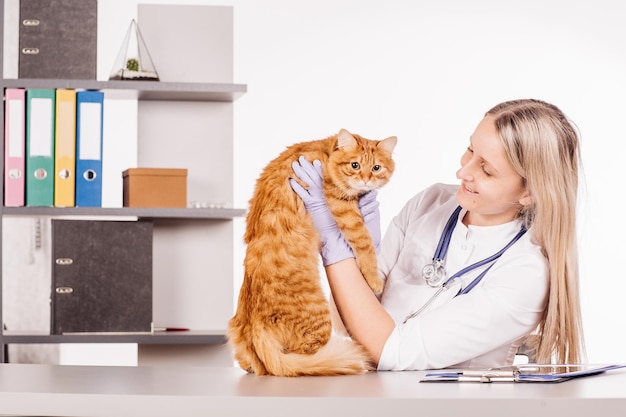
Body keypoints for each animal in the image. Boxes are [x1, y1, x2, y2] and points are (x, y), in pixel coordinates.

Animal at [228, 128, 394, 376]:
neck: (326, 152)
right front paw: (374, 280)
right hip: (319, 321)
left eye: (376, 168)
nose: (365, 179)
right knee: (302, 359)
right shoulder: (343, 209)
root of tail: (254, 326)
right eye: (355, 165)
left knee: (253, 364)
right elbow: (365, 244)